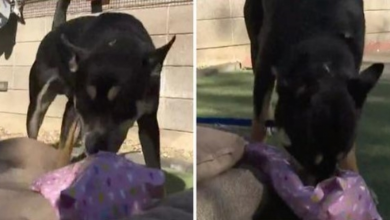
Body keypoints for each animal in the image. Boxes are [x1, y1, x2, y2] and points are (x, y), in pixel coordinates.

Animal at [25, 12, 175, 168]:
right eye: (84, 106)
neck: (116, 41)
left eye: (122, 107)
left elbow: (153, 161)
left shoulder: (149, 119)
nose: (95, 148)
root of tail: (56, 28)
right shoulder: (73, 107)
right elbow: (64, 150)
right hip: (37, 104)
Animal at [245, 0, 382, 182]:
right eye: (307, 157)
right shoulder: (264, 69)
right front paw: (256, 151)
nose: (325, 184)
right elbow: (259, 120)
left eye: (338, 158)